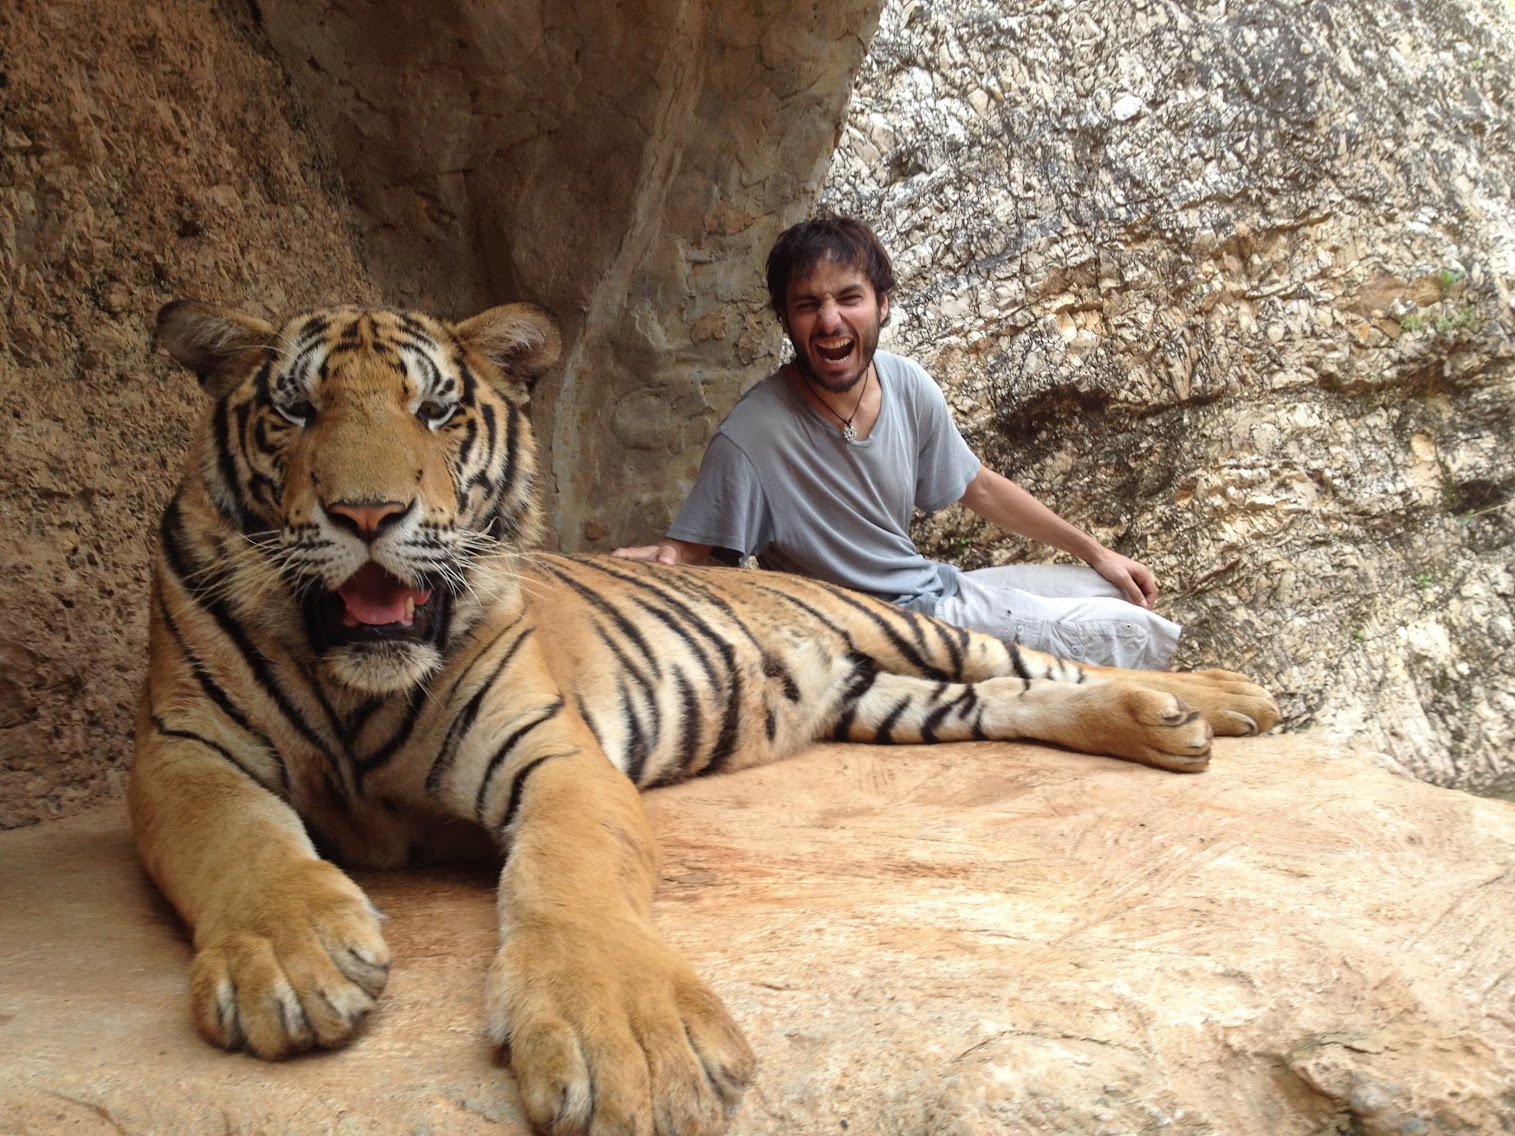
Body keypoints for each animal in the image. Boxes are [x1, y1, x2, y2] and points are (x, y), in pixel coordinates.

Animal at [133, 299, 1278, 1136]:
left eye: (437, 412)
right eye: (294, 412)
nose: (367, 515)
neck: (355, 677)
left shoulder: (551, 753)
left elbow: (570, 876)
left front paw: (630, 1046)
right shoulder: (182, 749)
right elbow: (235, 837)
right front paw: (294, 958)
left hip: (914, 635)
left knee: (1040, 660)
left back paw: (1219, 700)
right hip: (893, 699)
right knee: (1016, 698)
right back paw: (1164, 725)